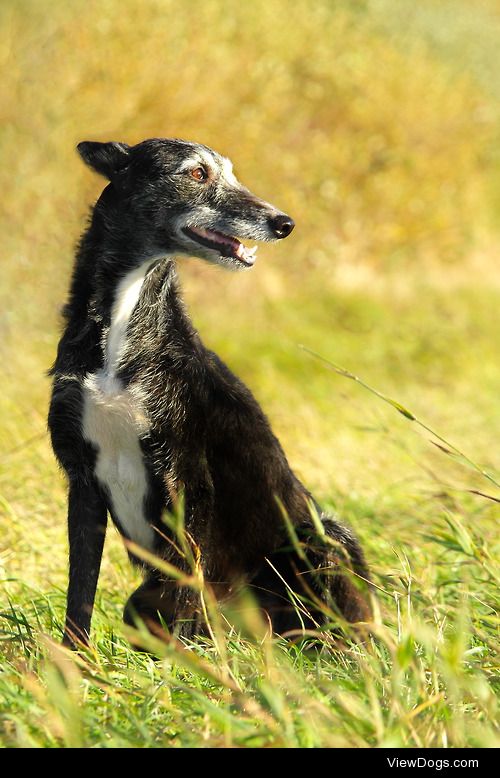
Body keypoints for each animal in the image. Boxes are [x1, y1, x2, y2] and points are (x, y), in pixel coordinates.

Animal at [49, 138, 372, 644]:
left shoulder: (184, 475)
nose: (284, 223)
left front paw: (188, 660)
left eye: (232, 173)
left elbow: (183, 589)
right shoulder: (81, 479)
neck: (122, 328)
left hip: (323, 538)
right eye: (197, 173)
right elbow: (78, 596)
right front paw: (72, 664)